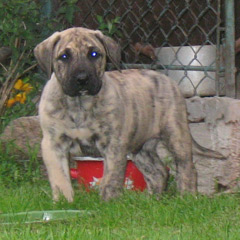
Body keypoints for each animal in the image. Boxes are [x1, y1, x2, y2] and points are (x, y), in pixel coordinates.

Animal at [35, 27, 197, 202]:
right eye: (64, 56)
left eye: (94, 54)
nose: (82, 79)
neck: (79, 104)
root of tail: (165, 78)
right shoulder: (53, 144)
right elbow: (59, 178)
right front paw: (64, 202)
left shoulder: (113, 143)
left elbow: (111, 178)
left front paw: (108, 201)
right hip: (141, 147)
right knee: (158, 172)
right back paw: (153, 200)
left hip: (176, 134)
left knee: (186, 167)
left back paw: (187, 196)